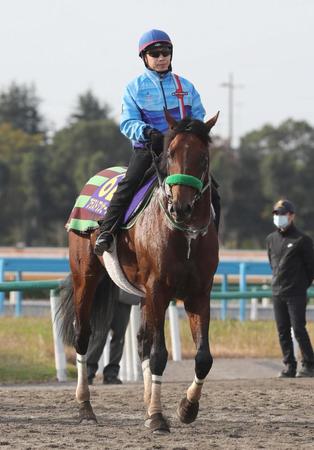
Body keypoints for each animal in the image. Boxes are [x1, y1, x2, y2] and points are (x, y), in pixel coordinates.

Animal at [57, 110, 218, 434]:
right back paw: (85, 407)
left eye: (203, 157)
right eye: (170, 154)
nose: (181, 206)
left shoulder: (198, 294)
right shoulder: (158, 290)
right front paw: (157, 417)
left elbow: (203, 358)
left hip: (142, 295)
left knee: (143, 341)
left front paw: (186, 408)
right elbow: (158, 356)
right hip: (86, 277)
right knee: (83, 335)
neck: (186, 235)